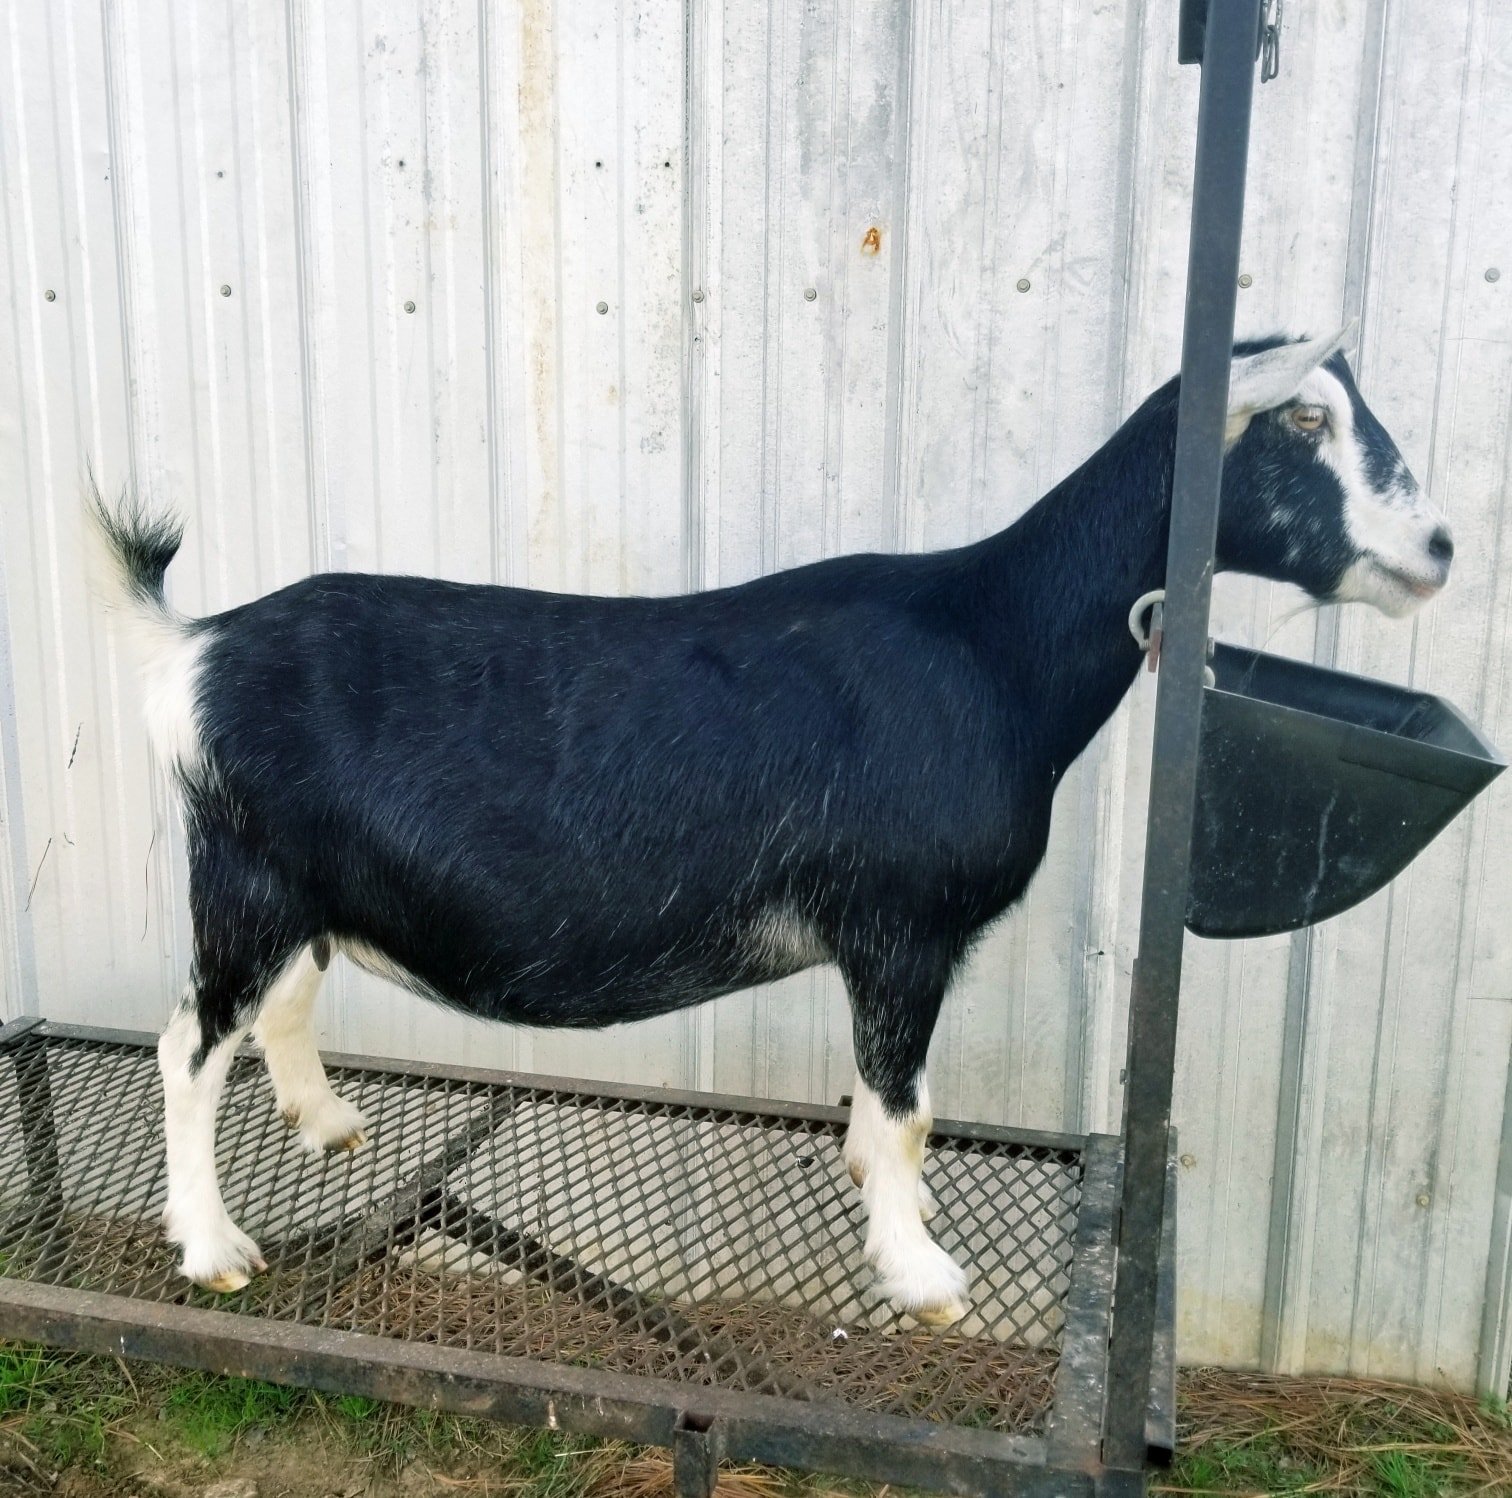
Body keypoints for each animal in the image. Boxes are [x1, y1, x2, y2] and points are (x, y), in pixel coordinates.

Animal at [88, 331, 1451, 1326]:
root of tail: (194, 646)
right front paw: (923, 1276)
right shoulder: (899, 926)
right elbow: (905, 1106)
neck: (990, 645)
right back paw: (213, 1246)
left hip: (301, 887)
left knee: (281, 1004)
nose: (1438, 546)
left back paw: (327, 1123)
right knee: (187, 1045)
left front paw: (887, 1202)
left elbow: (899, 1102)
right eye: (1305, 422)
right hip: (246, 880)